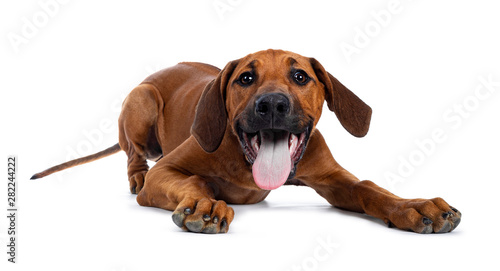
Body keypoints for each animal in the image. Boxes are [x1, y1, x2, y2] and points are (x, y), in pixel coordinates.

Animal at [31, 50, 460, 235]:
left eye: (300, 77)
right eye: (245, 79)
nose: (271, 105)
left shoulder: (335, 179)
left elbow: (369, 188)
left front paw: (413, 206)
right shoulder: (167, 170)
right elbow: (193, 180)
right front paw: (204, 204)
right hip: (142, 100)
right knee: (133, 155)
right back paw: (137, 176)